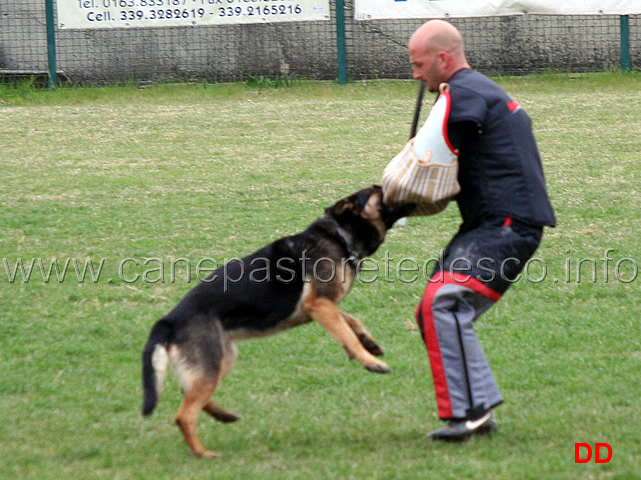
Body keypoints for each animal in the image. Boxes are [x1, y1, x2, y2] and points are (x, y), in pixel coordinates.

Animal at [140, 185, 412, 458]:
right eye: (378, 190)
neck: (341, 236)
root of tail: (169, 320)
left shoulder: (321, 306)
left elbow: (351, 321)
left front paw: (368, 341)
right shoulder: (320, 306)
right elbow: (346, 334)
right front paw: (370, 361)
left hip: (222, 359)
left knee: (187, 391)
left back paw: (223, 416)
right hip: (211, 363)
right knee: (184, 415)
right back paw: (203, 453)